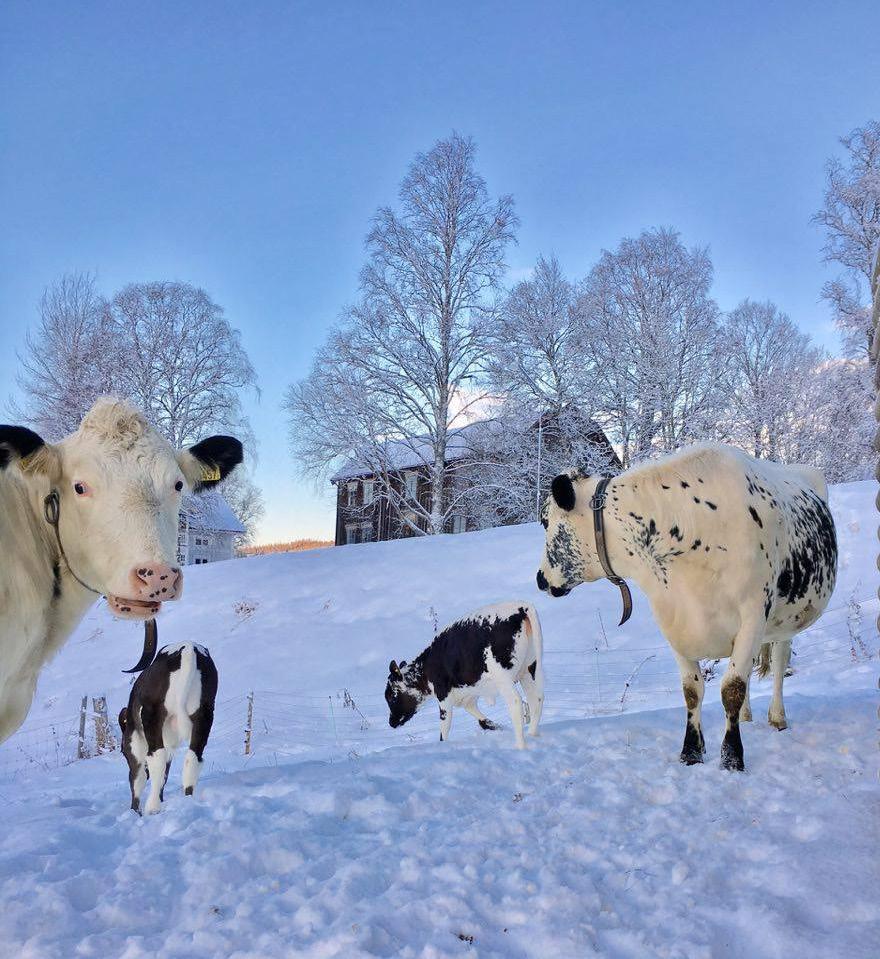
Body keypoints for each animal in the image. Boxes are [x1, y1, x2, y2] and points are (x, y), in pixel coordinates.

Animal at [117, 640, 217, 812]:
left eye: (123, 751)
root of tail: (189, 649)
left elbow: (138, 778)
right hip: (204, 715)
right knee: (193, 758)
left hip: (153, 717)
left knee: (157, 758)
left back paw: (152, 808)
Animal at [384, 600, 544, 752]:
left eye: (391, 696)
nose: (391, 723)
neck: (427, 667)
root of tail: (521, 607)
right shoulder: (468, 694)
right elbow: (482, 719)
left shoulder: (443, 696)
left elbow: (444, 729)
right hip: (529, 669)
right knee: (536, 699)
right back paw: (532, 735)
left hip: (503, 677)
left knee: (516, 702)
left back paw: (520, 746)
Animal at [536, 444, 840, 772]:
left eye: (545, 521)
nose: (540, 579)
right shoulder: (674, 622)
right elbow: (693, 692)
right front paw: (691, 751)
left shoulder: (753, 616)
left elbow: (732, 688)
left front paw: (732, 757)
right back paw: (747, 717)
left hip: (785, 619)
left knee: (780, 662)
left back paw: (777, 717)